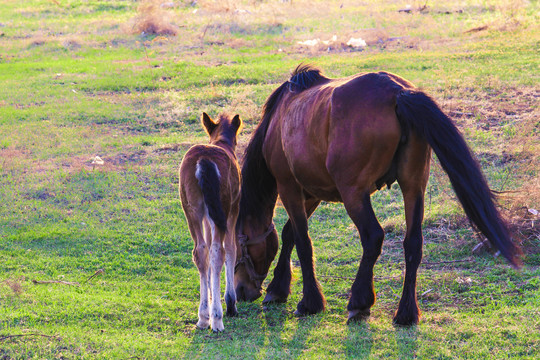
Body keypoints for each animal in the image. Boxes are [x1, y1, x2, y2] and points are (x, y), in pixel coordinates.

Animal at [179, 112, 243, 332]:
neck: (221, 142)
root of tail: (203, 161)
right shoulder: (233, 210)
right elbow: (232, 248)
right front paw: (230, 302)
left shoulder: (208, 217)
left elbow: (205, 250)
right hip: (222, 207)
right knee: (218, 251)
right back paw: (217, 317)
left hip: (192, 210)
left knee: (200, 250)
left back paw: (203, 316)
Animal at [234, 64, 520, 326]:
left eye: (235, 247)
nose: (240, 292)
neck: (279, 119)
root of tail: (398, 92)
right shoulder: (313, 192)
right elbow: (290, 234)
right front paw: (278, 289)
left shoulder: (289, 187)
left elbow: (302, 241)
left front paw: (308, 302)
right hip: (413, 186)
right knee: (413, 242)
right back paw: (406, 313)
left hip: (354, 193)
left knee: (373, 237)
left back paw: (359, 301)